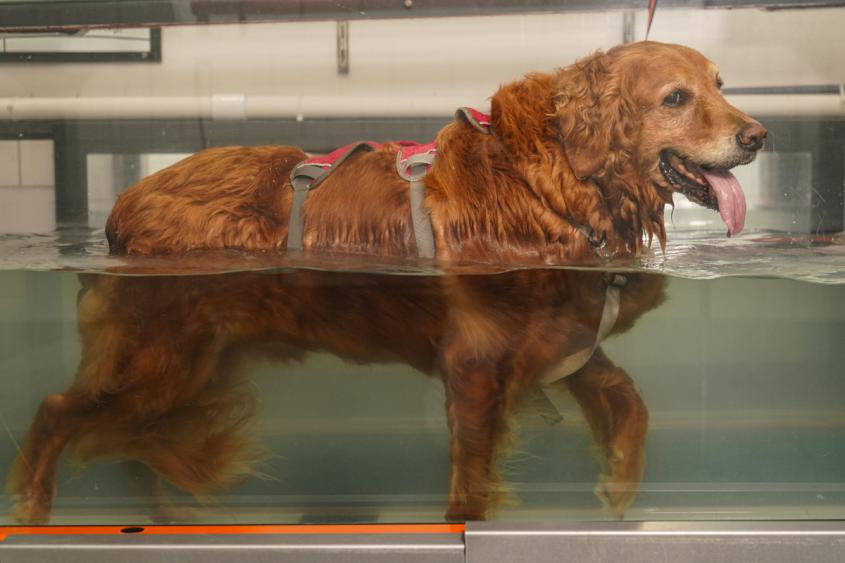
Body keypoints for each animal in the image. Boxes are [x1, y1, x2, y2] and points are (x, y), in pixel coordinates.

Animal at [9, 41, 764, 528]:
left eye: (722, 83)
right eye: (675, 97)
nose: (759, 136)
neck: (552, 183)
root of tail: (121, 207)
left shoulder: (564, 346)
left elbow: (631, 400)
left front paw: (618, 484)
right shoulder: (477, 363)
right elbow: (469, 487)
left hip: (192, 373)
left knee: (128, 439)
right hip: (159, 363)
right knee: (54, 409)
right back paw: (35, 508)